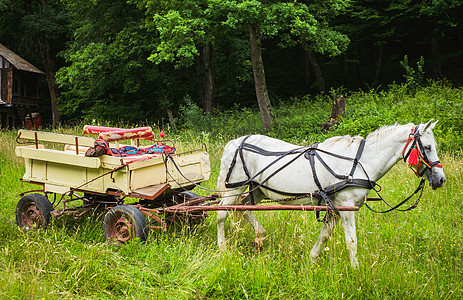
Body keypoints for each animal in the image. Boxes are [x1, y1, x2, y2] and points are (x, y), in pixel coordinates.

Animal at [217, 120, 446, 268]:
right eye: (427, 147)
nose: (441, 179)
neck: (359, 162)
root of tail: (234, 142)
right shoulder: (346, 207)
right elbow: (351, 241)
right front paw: (356, 271)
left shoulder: (335, 208)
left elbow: (325, 235)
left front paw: (311, 260)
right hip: (234, 187)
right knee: (222, 214)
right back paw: (222, 249)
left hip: (257, 190)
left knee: (244, 207)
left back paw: (260, 236)